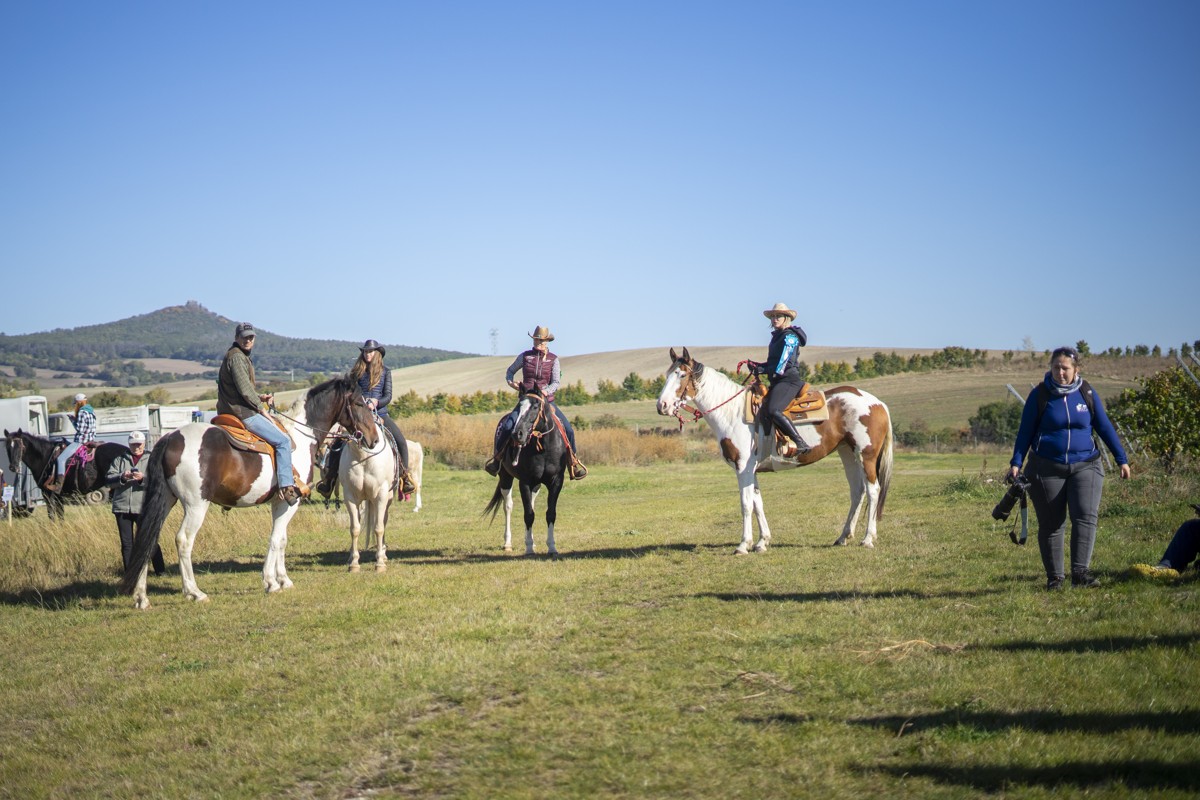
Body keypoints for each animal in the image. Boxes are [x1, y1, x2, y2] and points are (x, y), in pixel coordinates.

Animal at [119, 377, 377, 610]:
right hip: (196, 505)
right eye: (359, 403)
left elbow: (282, 539)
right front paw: (271, 582)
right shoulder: (291, 502)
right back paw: (194, 592)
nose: (373, 439)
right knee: (183, 540)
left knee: (148, 540)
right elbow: (275, 539)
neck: (299, 439)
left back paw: (141, 597)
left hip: (165, 501)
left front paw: (283, 579)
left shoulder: (280, 503)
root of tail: (170, 438)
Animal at [483, 391, 568, 555]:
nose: (517, 434)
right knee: (508, 506)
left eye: (535, 407)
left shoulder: (556, 481)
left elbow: (550, 513)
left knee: (531, 504)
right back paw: (507, 543)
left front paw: (551, 547)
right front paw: (528, 548)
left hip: (536, 485)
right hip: (505, 477)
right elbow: (528, 514)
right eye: (519, 406)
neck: (543, 449)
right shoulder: (525, 482)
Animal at [656, 348, 893, 552]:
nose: (662, 406)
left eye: (681, 374)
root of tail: (878, 403)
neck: (732, 413)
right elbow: (757, 503)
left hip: (866, 455)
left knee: (873, 490)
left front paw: (743, 545)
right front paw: (762, 542)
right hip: (847, 453)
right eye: (667, 374)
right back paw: (843, 537)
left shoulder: (743, 468)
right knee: (857, 491)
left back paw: (868, 538)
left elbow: (745, 504)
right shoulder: (750, 470)